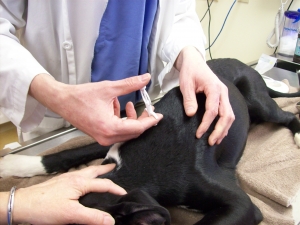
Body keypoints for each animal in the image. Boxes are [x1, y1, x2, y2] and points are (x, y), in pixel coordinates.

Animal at [0, 59, 300, 224]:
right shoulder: (121, 132)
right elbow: (71, 152)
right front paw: (14, 163)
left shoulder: (243, 206)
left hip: (257, 101)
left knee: (286, 115)